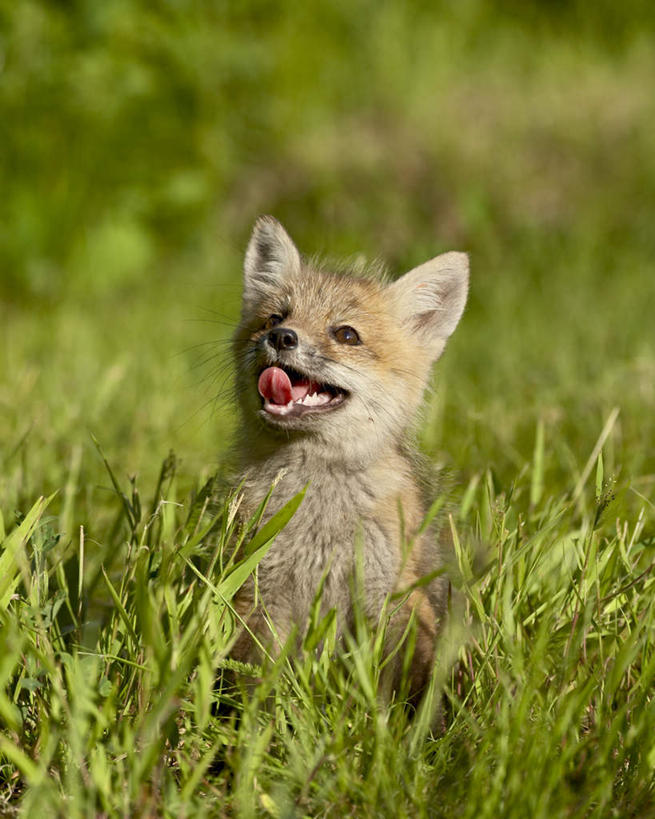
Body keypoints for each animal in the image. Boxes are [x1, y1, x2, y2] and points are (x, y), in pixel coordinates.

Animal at [229, 216, 466, 700]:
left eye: (346, 335)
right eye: (275, 318)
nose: (281, 337)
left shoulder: (394, 599)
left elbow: (400, 685)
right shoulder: (263, 594)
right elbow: (259, 683)